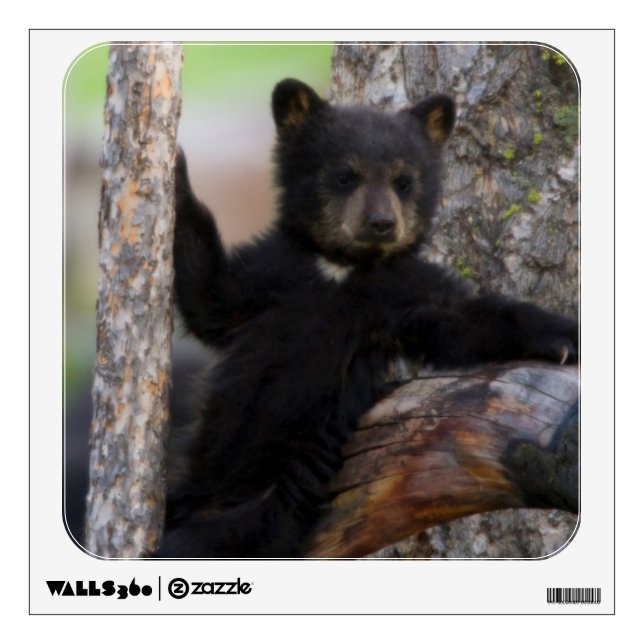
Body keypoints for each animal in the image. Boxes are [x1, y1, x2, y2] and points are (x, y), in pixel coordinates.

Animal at [157, 78, 578, 558]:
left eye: (404, 181)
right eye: (345, 175)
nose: (381, 222)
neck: (343, 268)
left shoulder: (401, 294)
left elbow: (463, 321)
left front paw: (563, 336)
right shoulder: (271, 274)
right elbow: (210, 297)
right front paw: (175, 169)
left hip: (270, 503)